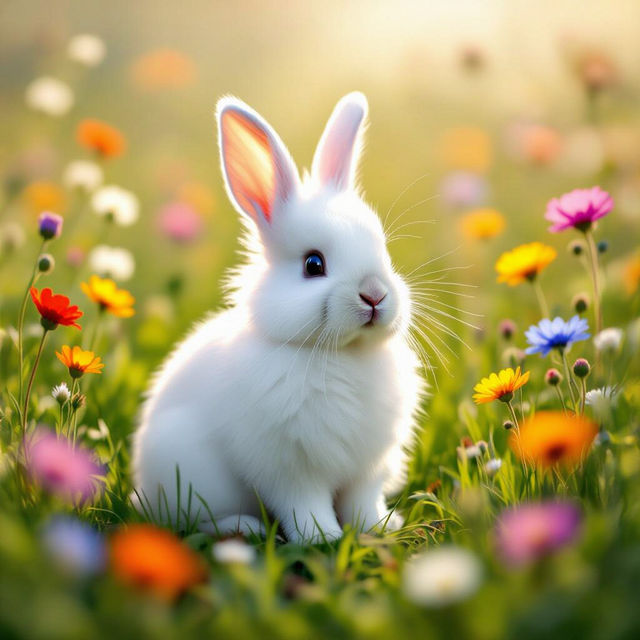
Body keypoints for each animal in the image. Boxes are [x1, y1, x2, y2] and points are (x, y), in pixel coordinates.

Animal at [132, 92, 424, 543]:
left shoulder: (368, 468)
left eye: (384, 251)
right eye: (313, 264)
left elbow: (363, 502)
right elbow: (304, 505)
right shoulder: (290, 469)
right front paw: (323, 538)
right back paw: (243, 527)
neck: (343, 355)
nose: (375, 294)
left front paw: (380, 528)